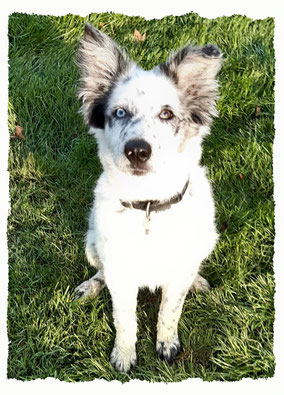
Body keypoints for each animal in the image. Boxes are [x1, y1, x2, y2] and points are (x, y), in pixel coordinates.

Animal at [75, 23, 222, 372]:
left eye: (167, 114)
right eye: (119, 112)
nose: (138, 151)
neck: (149, 206)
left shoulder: (178, 273)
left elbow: (170, 310)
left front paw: (167, 345)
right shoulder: (119, 272)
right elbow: (124, 318)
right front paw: (124, 354)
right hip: (90, 243)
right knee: (100, 272)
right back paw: (90, 286)